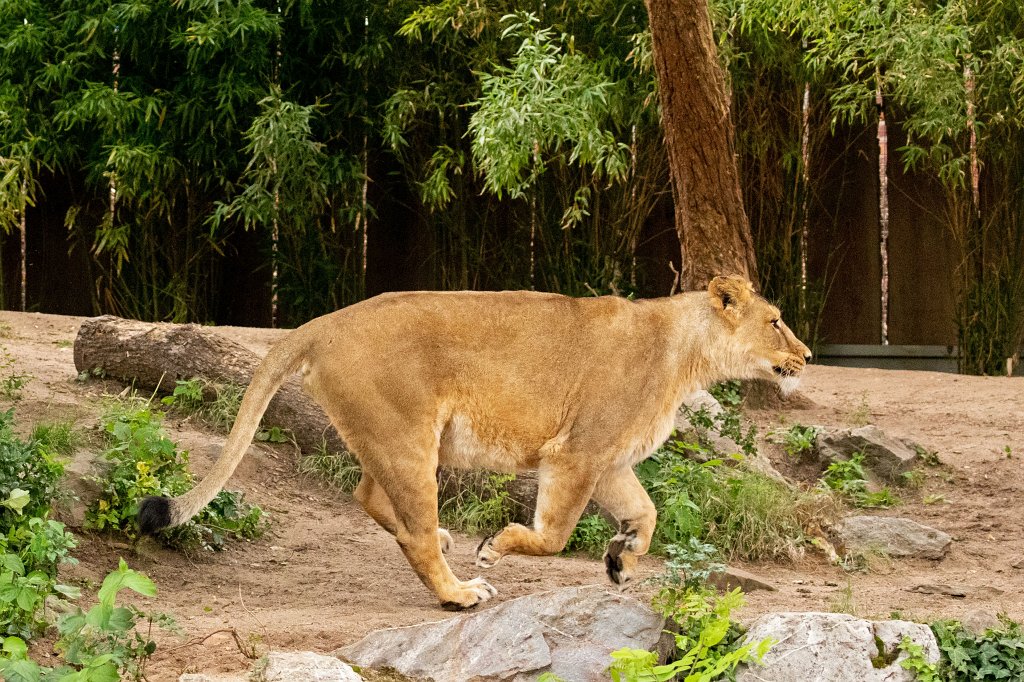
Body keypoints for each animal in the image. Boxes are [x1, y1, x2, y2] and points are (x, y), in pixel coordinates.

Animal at [138, 275, 811, 610]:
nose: (805, 355)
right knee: (408, 530)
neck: (687, 355)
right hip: (409, 436)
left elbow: (646, 515)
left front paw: (621, 561)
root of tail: (322, 323)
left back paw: (443, 538)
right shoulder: (576, 453)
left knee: (371, 498)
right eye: (776, 321)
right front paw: (496, 548)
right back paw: (461, 591)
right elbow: (553, 536)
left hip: (398, 438)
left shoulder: (609, 460)